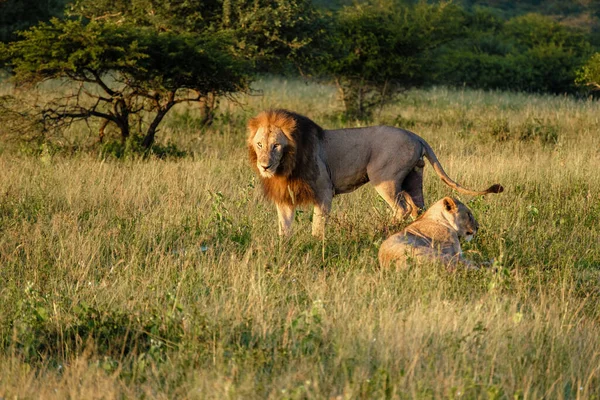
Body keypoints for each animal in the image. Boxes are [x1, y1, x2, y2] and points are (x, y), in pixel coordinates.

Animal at [246, 108, 504, 236]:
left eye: (276, 145)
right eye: (259, 145)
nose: (264, 166)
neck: (286, 164)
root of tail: (415, 135)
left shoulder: (324, 191)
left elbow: (317, 224)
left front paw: (316, 243)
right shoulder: (284, 197)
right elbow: (284, 226)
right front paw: (284, 247)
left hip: (383, 178)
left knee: (402, 208)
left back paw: (380, 231)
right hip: (413, 179)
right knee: (419, 208)